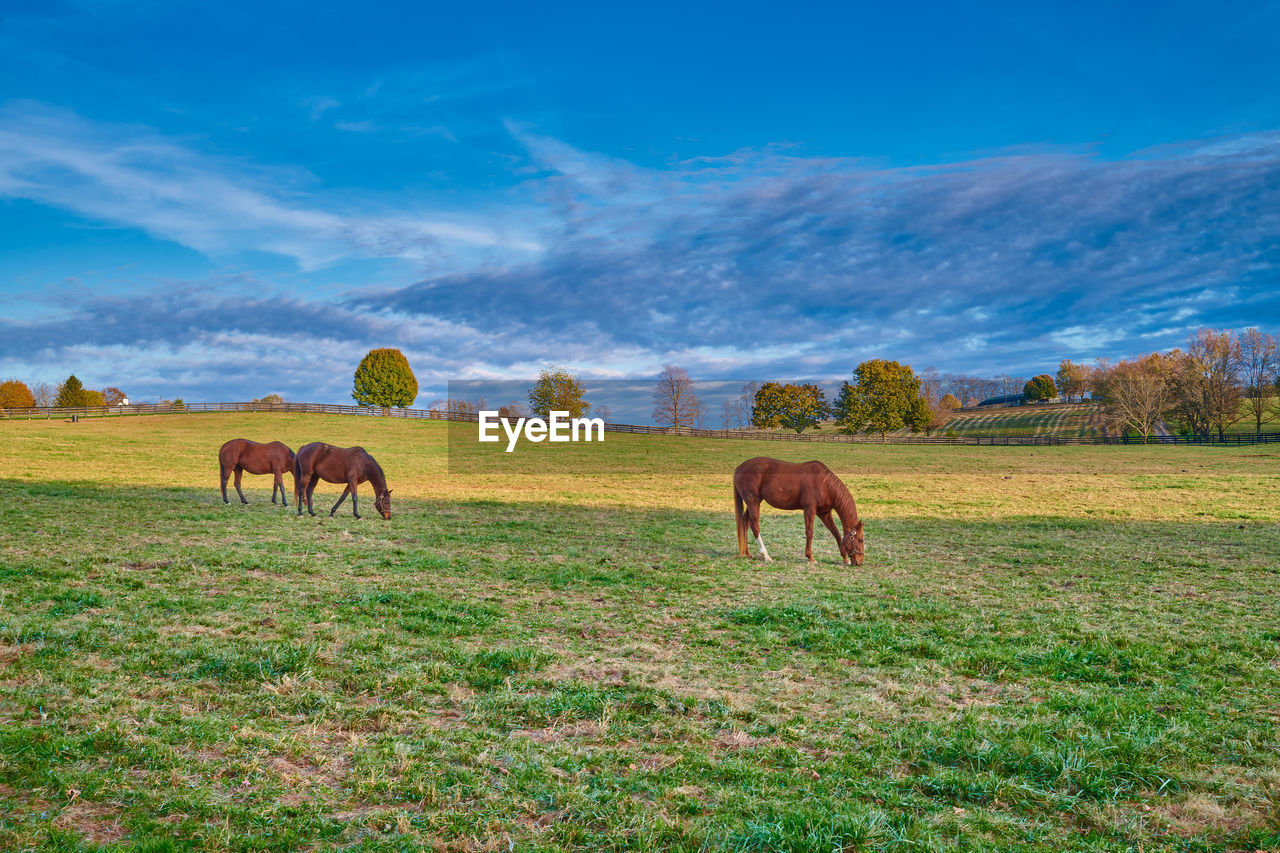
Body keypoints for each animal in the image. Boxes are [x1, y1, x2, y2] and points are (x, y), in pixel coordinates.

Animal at [737, 450, 865, 563]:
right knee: (755, 526)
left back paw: (747, 553)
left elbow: (836, 533)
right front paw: (810, 557)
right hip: (753, 502)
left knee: (745, 522)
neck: (823, 483)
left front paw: (845, 559)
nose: (860, 562)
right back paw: (766, 556)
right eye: (860, 539)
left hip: (753, 503)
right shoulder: (809, 509)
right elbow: (810, 532)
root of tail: (740, 468)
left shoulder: (824, 513)